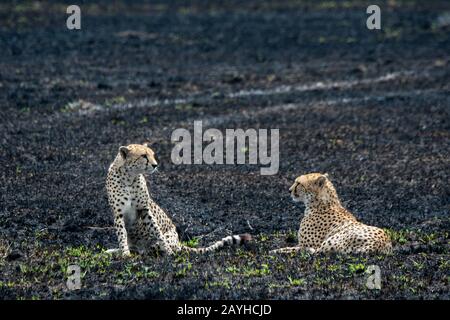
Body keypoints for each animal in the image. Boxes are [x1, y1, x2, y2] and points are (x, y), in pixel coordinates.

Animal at [107, 144, 251, 256]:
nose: (155, 165)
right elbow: (121, 235)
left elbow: (157, 232)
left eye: (152, 155)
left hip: (167, 239)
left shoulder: (145, 210)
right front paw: (125, 254)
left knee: (156, 248)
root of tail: (178, 242)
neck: (129, 178)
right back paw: (117, 251)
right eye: (143, 155)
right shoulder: (118, 215)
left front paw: (169, 252)